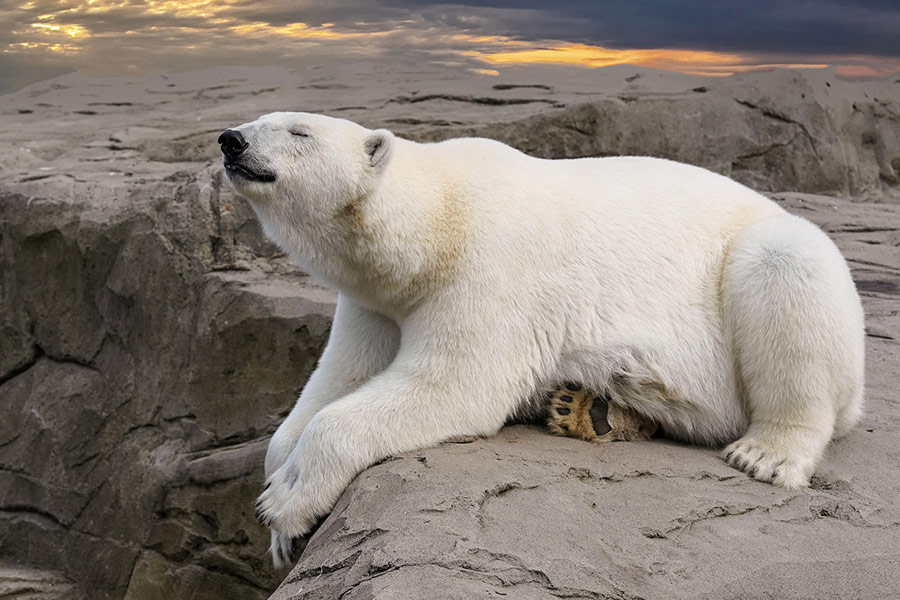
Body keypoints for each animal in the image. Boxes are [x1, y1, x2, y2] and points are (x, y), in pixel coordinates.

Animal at [218, 112, 865, 567]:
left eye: (298, 131)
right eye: (261, 118)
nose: (231, 140)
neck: (437, 221)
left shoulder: (493, 266)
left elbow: (452, 386)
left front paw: (285, 502)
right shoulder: (375, 301)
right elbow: (339, 378)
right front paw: (281, 517)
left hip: (766, 270)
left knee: (786, 269)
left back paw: (766, 452)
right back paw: (589, 407)